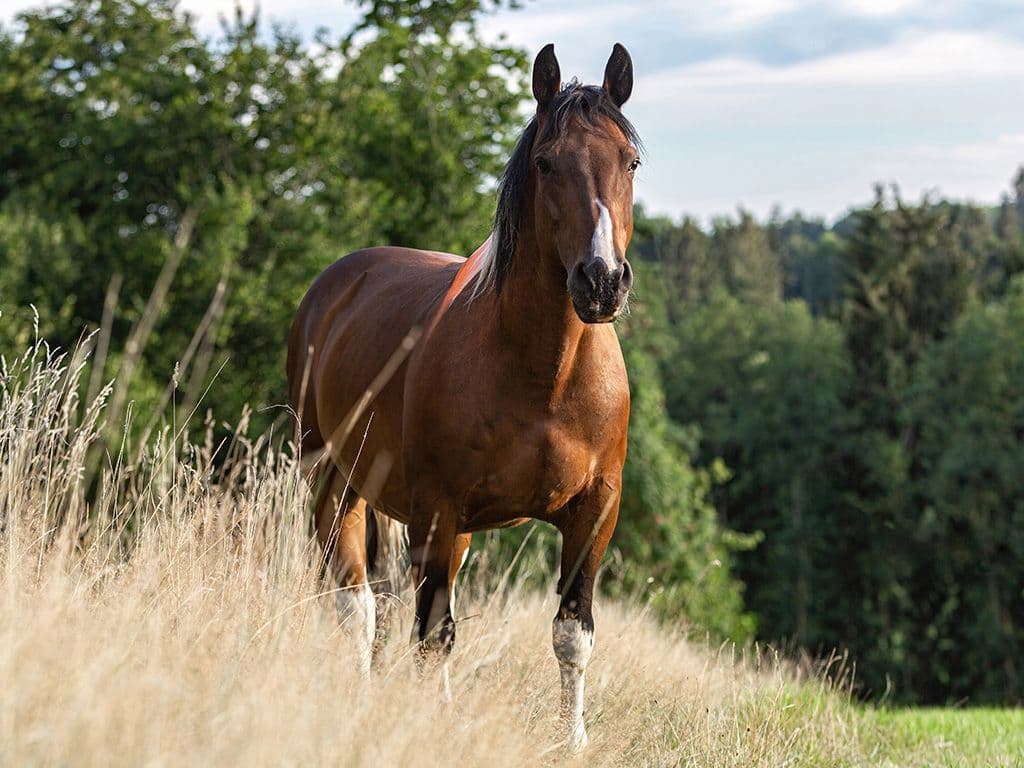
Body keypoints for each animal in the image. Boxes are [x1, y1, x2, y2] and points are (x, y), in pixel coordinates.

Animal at [286, 42, 640, 751]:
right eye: (546, 162)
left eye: (631, 161)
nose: (600, 281)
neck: (545, 378)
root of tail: (335, 284)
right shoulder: (437, 511)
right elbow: (432, 634)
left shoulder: (594, 514)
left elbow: (572, 635)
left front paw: (573, 742)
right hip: (334, 480)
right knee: (355, 604)